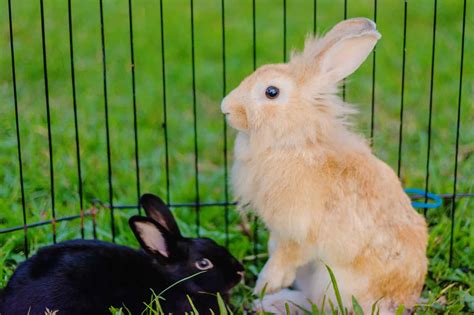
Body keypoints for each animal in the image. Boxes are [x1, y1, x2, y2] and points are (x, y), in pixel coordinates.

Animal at [220, 18, 428, 314]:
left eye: (271, 92)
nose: (226, 108)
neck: (294, 143)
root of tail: (400, 302)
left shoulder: (298, 231)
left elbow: (286, 256)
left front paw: (266, 283)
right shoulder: (280, 232)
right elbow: (276, 248)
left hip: (332, 282)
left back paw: (273, 300)